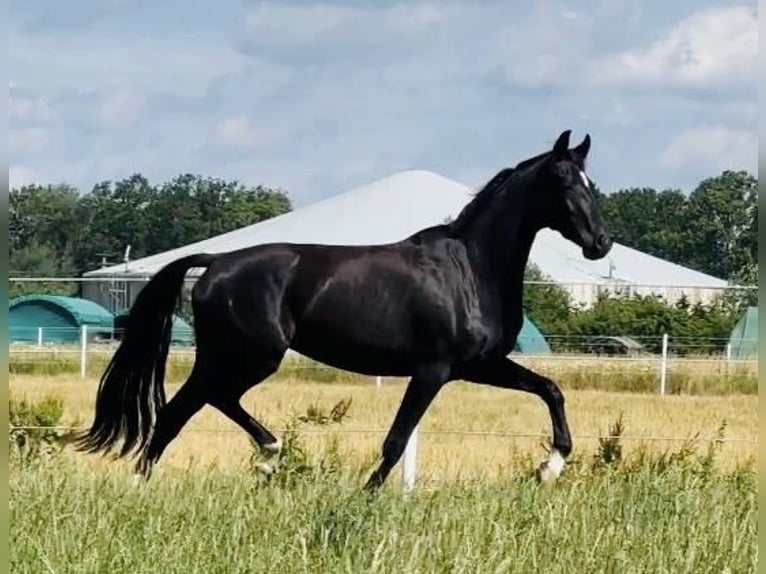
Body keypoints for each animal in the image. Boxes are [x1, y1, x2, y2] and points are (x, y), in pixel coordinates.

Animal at [76, 129, 612, 488]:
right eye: (563, 181)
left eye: (592, 183)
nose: (600, 244)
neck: (471, 269)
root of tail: (215, 263)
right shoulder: (433, 369)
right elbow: (396, 440)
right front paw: (366, 495)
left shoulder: (479, 365)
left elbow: (550, 390)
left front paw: (550, 466)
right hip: (248, 355)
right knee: (183, 409)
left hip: (238, 357)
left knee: (202, 404)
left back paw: (263, 455)